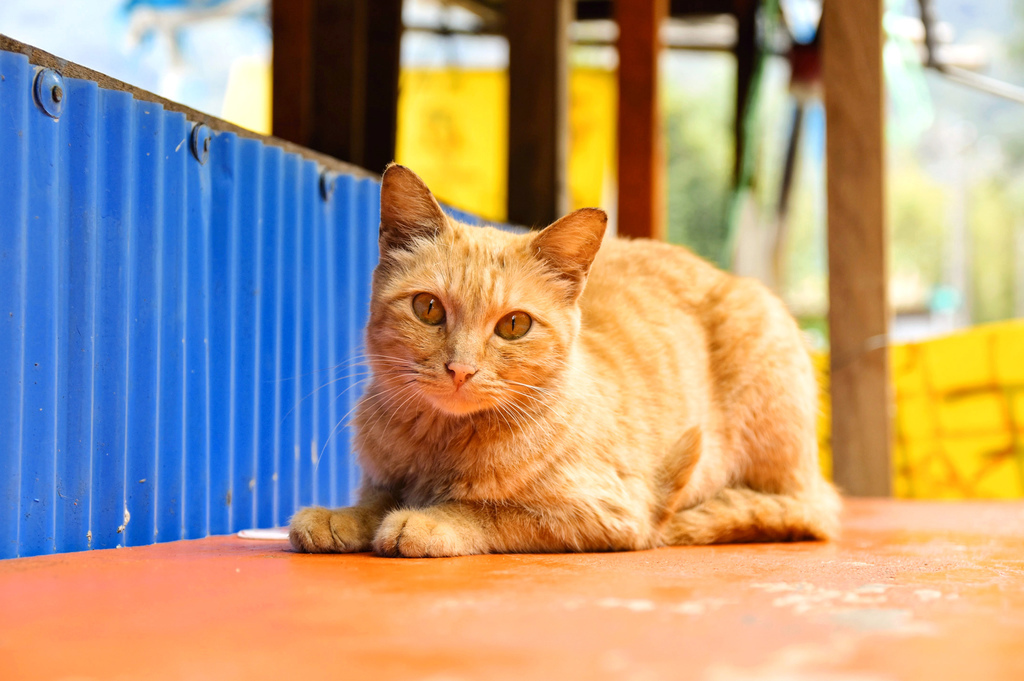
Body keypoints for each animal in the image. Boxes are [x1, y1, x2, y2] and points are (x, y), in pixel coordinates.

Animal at [288, 165, 839, 557]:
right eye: (428, 308)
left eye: (514, 325)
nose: (460, 369)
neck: (440, 443)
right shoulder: (381, 478)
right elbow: (375, 499)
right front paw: (340, 516)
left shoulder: (604, 512)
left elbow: (488, 511)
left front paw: (428, 519)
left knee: (802, 512)